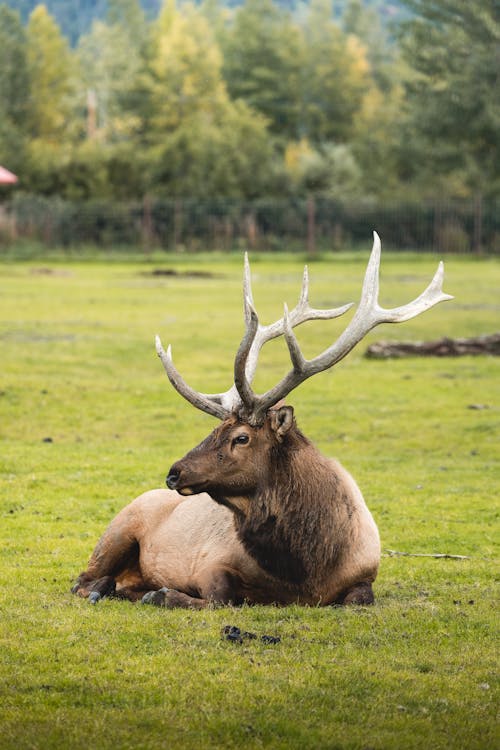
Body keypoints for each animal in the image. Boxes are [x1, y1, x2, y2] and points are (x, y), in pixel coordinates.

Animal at [73, 235, 454, 612]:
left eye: (241, 438)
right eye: (214, 430)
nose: (174, 473)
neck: (305, 572)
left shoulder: (365, 574)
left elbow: (359, 599)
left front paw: (157, 593)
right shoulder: (211, 563)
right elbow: (221, 597)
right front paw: (161, 593)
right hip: (118, 528)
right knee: (81, 579)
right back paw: (104, 589)